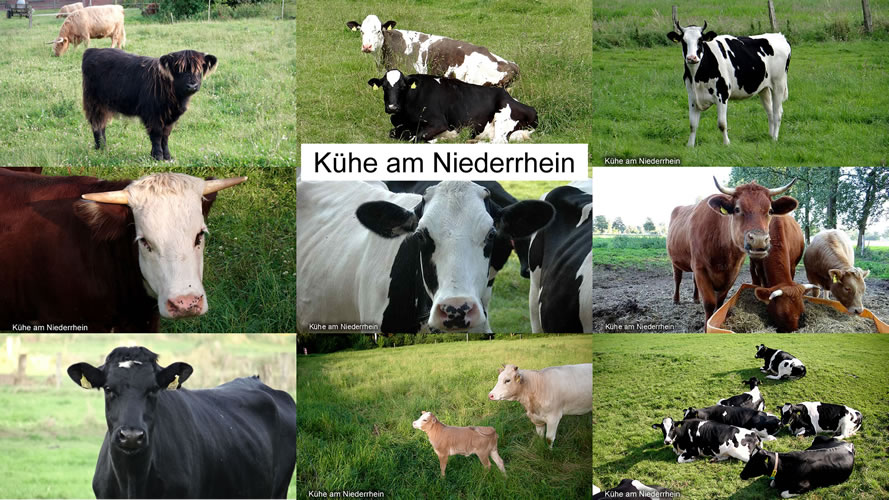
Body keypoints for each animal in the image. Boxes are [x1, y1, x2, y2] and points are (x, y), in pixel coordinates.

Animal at [82, 48, 218, 161]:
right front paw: (157, 156)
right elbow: (156, 135)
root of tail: (92, 50)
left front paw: (167, 156)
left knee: (101, 124)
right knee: (97, 124)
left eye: (199, 69)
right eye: (178, 69)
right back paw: (101, 148)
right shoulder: (153, 115)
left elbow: (165, 136)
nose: (192, 85)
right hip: (94, 102)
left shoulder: (170, 118)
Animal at [367, 70, 536, 143]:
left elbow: (415, 137)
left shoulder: (438, 123)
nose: (392, 107)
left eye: (403, 87)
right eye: (384, 87)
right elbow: (393, 133)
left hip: (503, 117)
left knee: (498, 141)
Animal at [667, 16, 791, 146]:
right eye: (683, 41)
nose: (691, 58)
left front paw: (726, 143)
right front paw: (690, 145)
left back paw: (775, 138)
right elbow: (692, 125)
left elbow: (722, 124)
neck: (698, 78)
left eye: (700, 41)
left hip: (778, 84)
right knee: (770, 112)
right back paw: (770, 136)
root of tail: (779, 36)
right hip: (764, 88)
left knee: (777, 113)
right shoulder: (692, 96)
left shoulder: (722, 94)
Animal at [667, 177, 798, 324]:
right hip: (675, 261)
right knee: (677, 279)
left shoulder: (732, 272)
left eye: (770, 211)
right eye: (737, 209)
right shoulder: (700, 269)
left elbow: (720, 301)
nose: (759, 240)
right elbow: (709, 303)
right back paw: (676, 300)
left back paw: (695, 299)